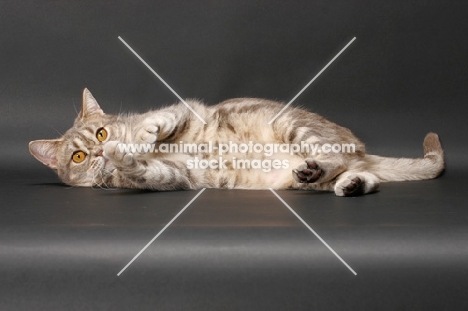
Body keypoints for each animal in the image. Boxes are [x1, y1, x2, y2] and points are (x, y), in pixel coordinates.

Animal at [27, 89, 444, 196]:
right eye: (79, 156)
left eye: (100, 133)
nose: (100, 150)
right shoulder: (174, 175)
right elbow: (147, 170)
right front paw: (124, 156)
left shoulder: (184, 109)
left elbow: (157, 120)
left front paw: (141, 135)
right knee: (354, 174)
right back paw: (350, 183)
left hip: (293, 125)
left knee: (336, 157)